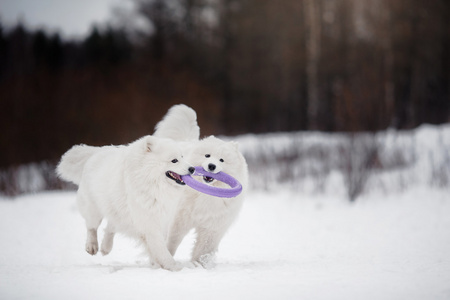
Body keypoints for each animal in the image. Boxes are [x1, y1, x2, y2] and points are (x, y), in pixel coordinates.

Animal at [57, 135, 194, 270]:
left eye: (182, 157)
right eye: (174, 160)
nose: (192, 168)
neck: (150, 181)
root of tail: (95, 153)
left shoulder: (162, 219)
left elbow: (158, 247)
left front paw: (157, 264)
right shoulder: (149, 222)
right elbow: (161, 249)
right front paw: (175, 267)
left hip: (117, 210)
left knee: (110, 227)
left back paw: (106, 247)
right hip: (94, 210)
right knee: (91, 227)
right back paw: (92, 246)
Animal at [153, 104, 248, 268]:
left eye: (221, 160)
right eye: (207, 155)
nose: (211, 166)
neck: (205, 195)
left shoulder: (212, 226)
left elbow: (203, 248)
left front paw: (199, 265)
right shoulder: (179, 220)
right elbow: (172, 241)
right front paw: (168, 258)